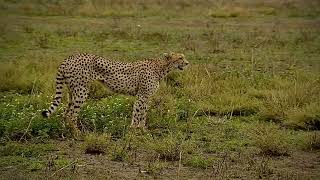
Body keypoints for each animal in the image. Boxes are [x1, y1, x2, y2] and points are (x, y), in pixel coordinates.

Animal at [41, 52, 189, 135]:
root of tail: (68, 58)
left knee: (65, 112)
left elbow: (143, 114)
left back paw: (65, 131)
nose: (187, 63)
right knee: (71, 114)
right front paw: (134, 130)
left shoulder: (147, 97)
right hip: (81, 91)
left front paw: (142, 130)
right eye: (180, 58)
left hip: (73, 91)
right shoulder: (142, 95)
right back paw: (77, 133)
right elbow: (137, 113)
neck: (162, 67)